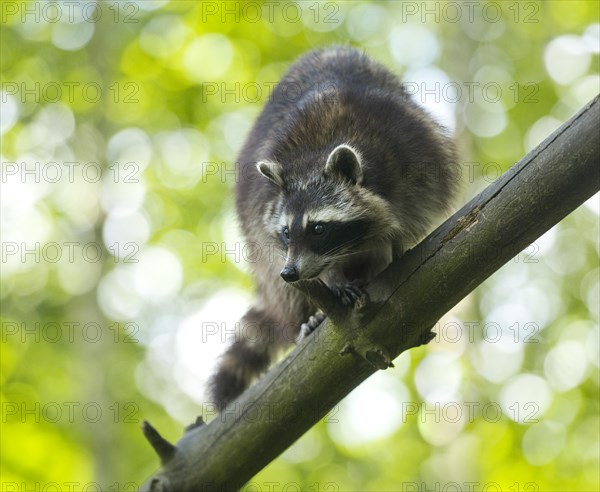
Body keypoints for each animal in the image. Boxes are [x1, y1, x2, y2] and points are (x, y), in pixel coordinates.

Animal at [209, 46, 458, 410]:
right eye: (287, 232)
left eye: (317, 229)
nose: (291, 272)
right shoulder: (263, 201)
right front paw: (332, 281)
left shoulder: (416, 151)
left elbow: (416, 210)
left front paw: (398, 244)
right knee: (275, 280)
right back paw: (308, 314)